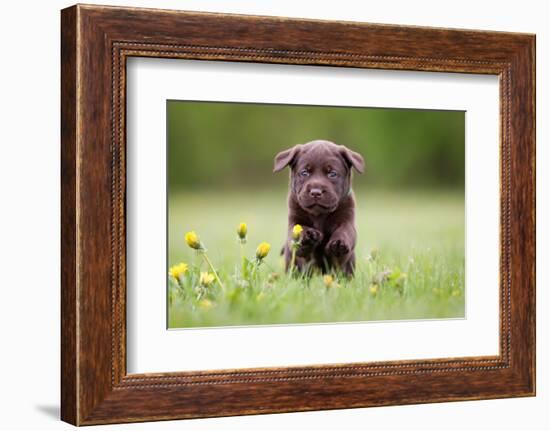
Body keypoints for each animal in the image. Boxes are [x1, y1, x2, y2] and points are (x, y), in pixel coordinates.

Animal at [274, 142, 364, 276]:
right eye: (304, 172)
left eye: (332, 174)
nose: (316, 192)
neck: (319, 215)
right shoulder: (294, 220)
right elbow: (297, 231)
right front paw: (308, 236)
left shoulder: (347, 218)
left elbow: (346, 230)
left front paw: (339, 243)